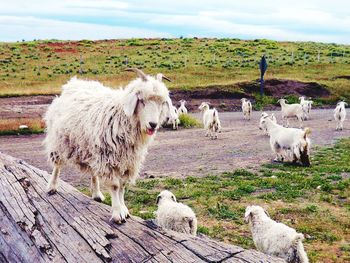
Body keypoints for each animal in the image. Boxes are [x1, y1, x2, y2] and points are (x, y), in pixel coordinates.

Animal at [44, 69, 173, 224]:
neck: (122, 116)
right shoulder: (108, 158)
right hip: (60, 141)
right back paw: (52, 187)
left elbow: (122, 186)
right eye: (141, 100)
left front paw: (124, 210)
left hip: (91, 148)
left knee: (93, 172)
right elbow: (115, 186)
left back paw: (96, 193)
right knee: (57, 165)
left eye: (161, 103)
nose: (153, 124)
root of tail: (73, 83)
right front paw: (118, 213)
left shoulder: (128, 160)